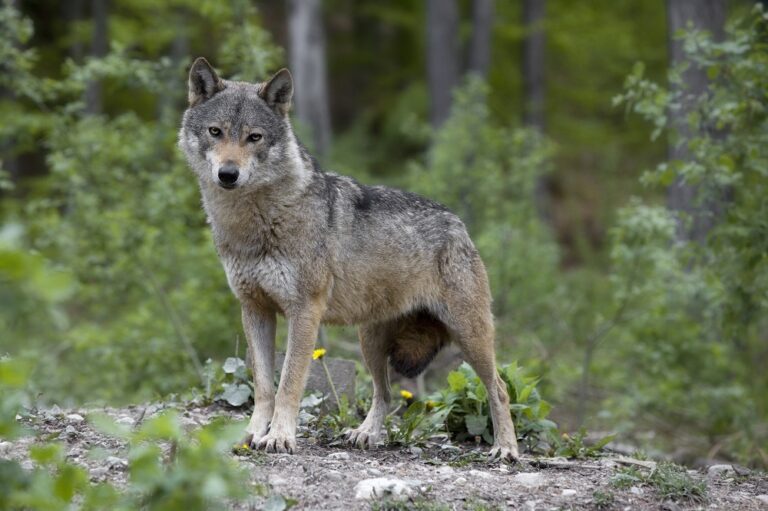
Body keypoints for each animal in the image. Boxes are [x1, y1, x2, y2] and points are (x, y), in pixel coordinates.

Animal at [177, 58, 520, 462]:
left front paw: (279, 437)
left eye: (254, 137)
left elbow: (288, 383)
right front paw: (250, 434)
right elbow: (263, 385)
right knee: (384, 393)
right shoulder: (254, 309)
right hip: (369, 342)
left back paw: (506, 448)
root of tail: (459, 224)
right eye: (216, 132)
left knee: (499, 388)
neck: (254, 223)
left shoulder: (304, 312)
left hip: (470, 336)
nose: (228, 174)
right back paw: (365, 434)